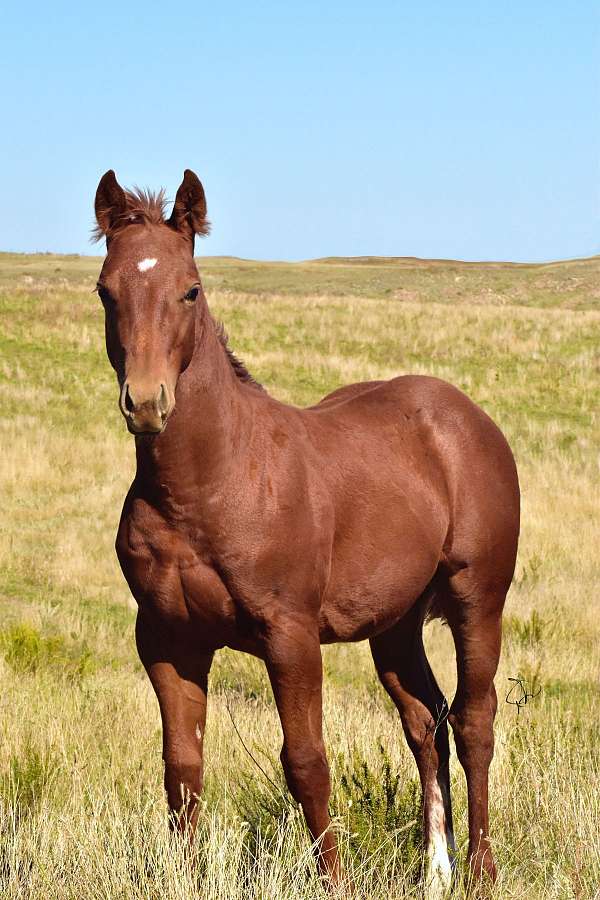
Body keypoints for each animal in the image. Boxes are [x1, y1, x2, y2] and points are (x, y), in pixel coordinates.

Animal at [93, 169, 520, 894]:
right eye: (105, 290)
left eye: (190, 289)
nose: (146, 405)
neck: (210, 485)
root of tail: (466, 416)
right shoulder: (167, 638)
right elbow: (182, 767)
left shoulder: (290, 637)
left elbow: (306, 762)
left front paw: (334, 881)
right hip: (395, 622)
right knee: (425, 720)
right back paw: (434, 871)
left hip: (477, 600)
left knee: (473, 720)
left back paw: (480, 870)